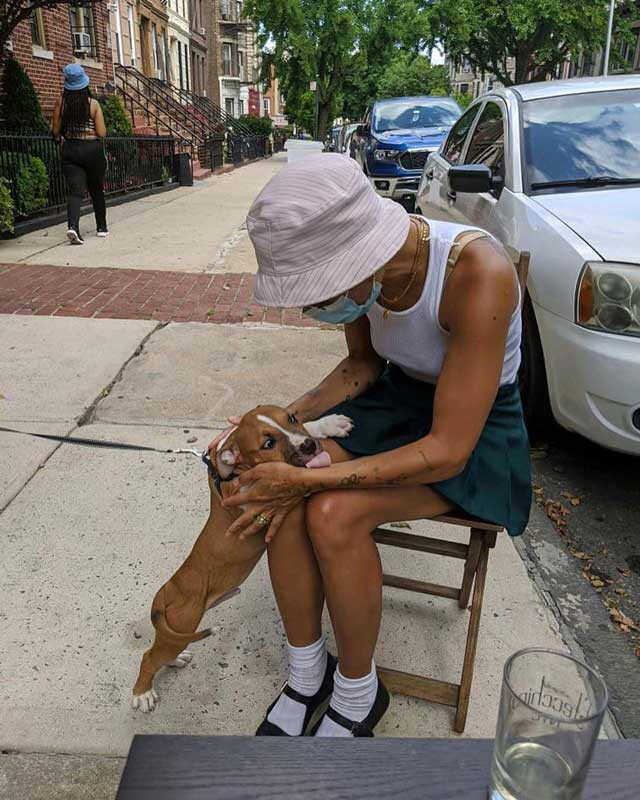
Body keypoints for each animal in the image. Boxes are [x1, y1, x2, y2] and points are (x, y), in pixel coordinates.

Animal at [130, 406, 350, 712]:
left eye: (291, 418)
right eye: (268, 444)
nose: (308, 445)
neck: (234, 471)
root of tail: (161, 597)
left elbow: (310, 428)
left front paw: (330, 424)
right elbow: (293, 483)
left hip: (176, 631)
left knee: (160, 650)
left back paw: (175, 661)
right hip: (184, 621)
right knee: (149, 658)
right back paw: (143, 693)